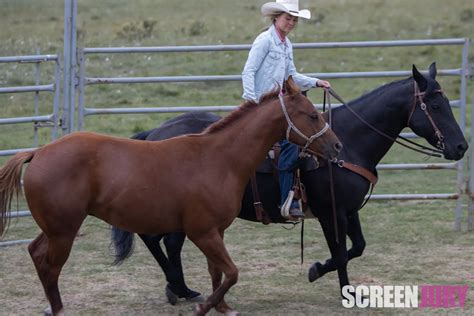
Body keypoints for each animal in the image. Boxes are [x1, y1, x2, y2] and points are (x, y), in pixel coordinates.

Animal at [0, 77, 340, 316]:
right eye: (312, 115)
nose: (336, 146)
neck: (218, 158)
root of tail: (39, 153)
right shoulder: (202, 232)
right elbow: (231, 272)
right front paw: (203, 306)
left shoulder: (215, 231)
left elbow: (217, 272)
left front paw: (221, 307)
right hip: (64, 232)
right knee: (50, 266)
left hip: (56, 229)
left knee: (36, 254)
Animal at [110, 63, 466, 304]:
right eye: (435, 106)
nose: (461, 146)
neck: (349, 143)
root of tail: (154, 134)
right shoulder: (330, 212)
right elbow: (340, 252)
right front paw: (340, 287)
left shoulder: (349, 210)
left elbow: (357, 247)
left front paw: (323, 272)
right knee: (154, 238)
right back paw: (177, 286)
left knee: (167, 243)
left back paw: (181, 289)